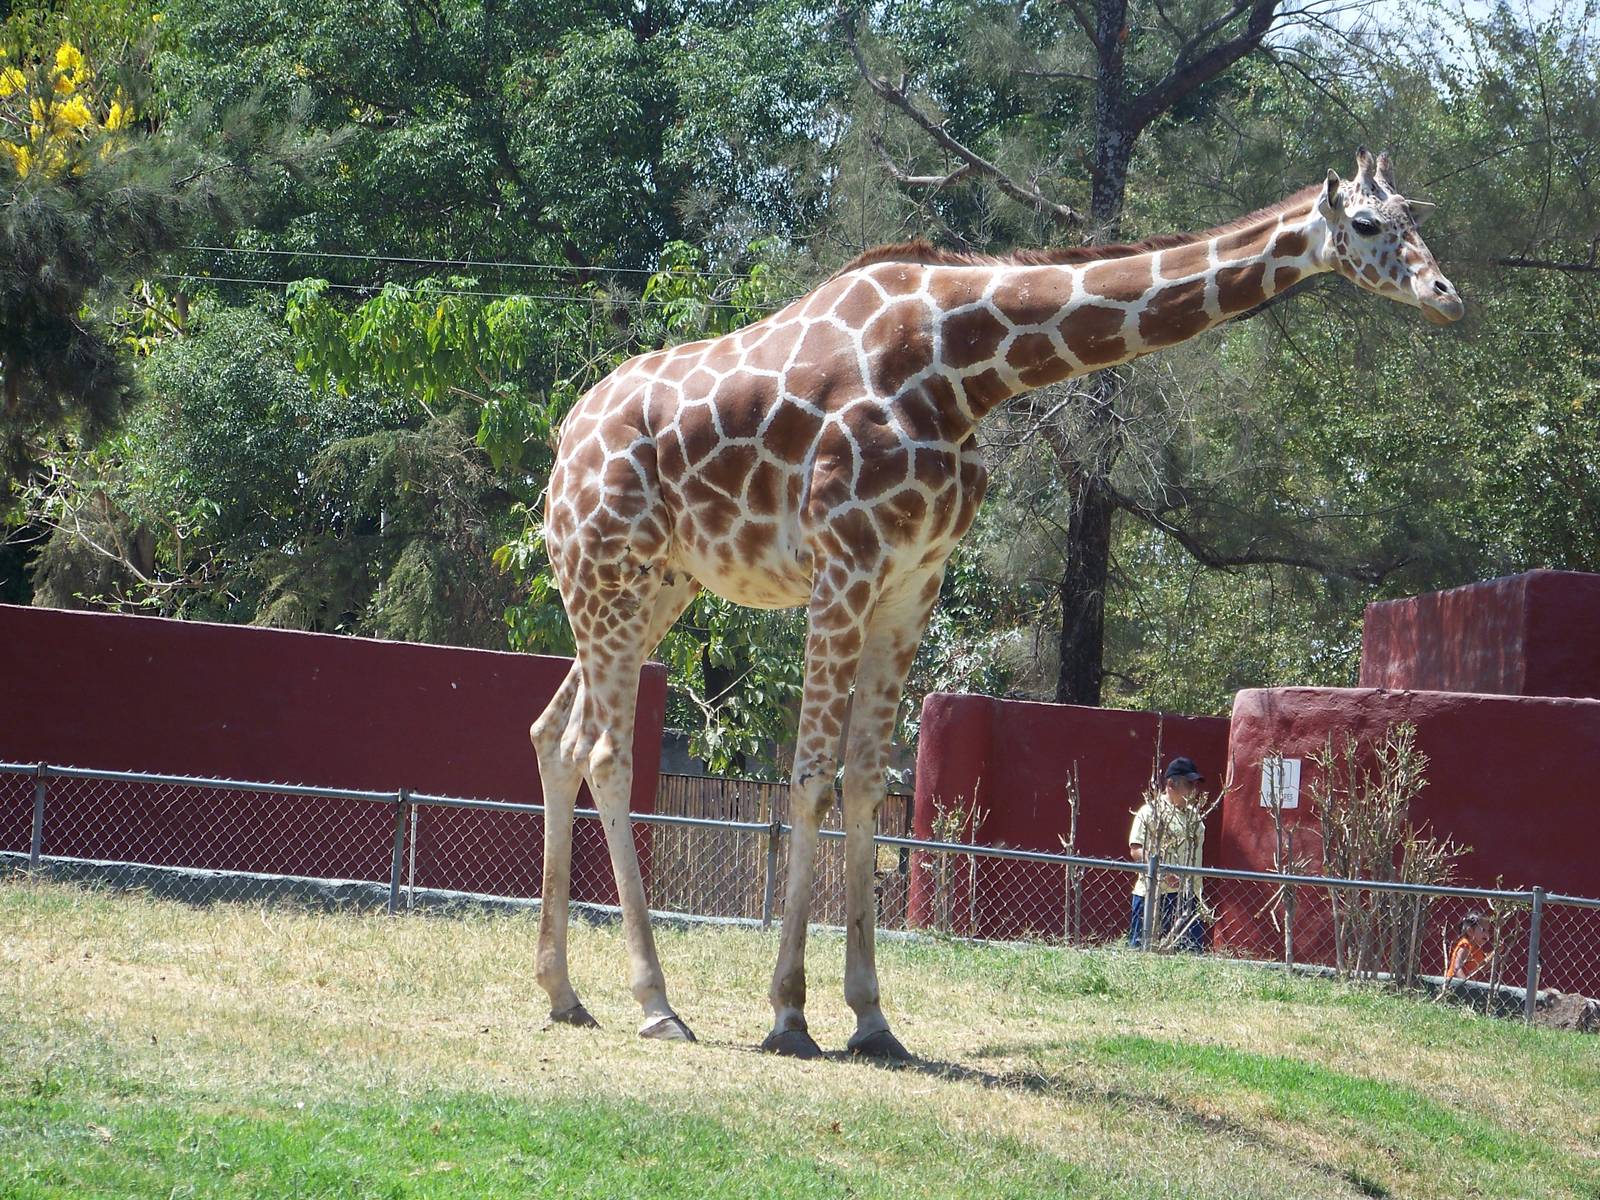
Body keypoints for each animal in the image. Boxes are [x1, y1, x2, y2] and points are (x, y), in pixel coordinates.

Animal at [530, 148, 1462, 1057]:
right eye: (1368, 224)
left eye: (1416, 214)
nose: (1445, 296)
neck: (962, 364)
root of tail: (565, 436)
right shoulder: (845, 563)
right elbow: (810, 779)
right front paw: (789, 1016)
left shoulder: (914, 579)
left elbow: (866, 782)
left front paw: (871, 1019)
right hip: (607, 569)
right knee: (603, 749)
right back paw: (655, 1004)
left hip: (655, 584)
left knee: (555, 733)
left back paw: (564, 994)